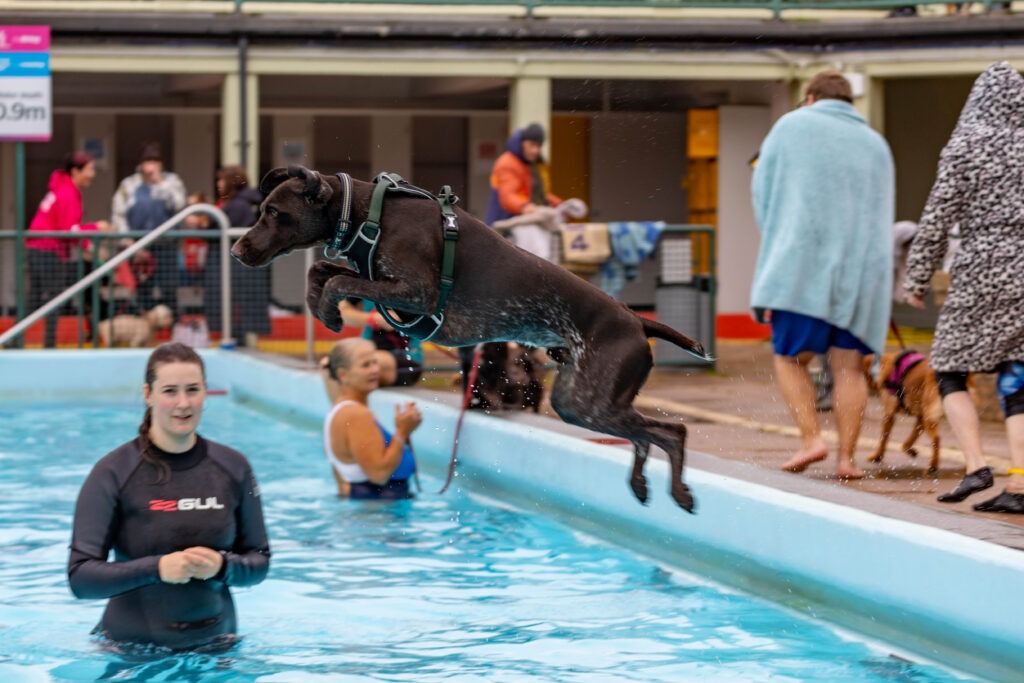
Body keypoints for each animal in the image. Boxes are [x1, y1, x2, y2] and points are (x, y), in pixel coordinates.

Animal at [232, 166, 712, 511]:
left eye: (274, 213)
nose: (236, 250)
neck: (370, 214)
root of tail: (639, 323)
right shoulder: (386, 288)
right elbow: (323, 271)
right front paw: (321, 308)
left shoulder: (416, 295)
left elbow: (336, 280)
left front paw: (328, 308)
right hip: (583, 401)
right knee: (645, 435)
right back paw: (641, 484)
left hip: (587, 401)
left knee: (672, 431)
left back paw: (679, 491)